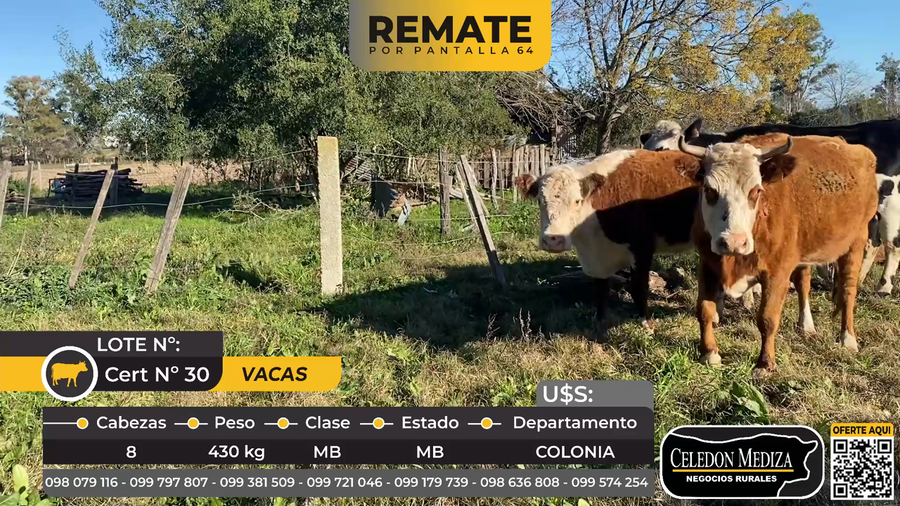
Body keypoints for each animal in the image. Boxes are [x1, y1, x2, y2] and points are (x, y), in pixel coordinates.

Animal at [515, 149, 707, 330]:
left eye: (577, 201)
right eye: (540, 201)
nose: (553, 240)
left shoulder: (642, 248)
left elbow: (638, 287)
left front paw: (646, 324)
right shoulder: (596, 258)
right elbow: (600, 289)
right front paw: (599, 321)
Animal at [645, 118, 900, 296]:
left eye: (662, 148)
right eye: (647, 144)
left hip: (891, 204)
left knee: (891, 244)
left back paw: (883, 287)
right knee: (873, 242)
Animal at [678, 133, 877, 376]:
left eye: (756, 190)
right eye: (709, 190)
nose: (734, 241)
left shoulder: (777, 272)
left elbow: (767, 318)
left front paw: (765, 363)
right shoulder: (707, 263)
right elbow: (705, 310)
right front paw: (709, 353)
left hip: (857, 241)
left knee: (848, 292)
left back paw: (848, 339)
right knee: (803, 284)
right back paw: (806, 325)